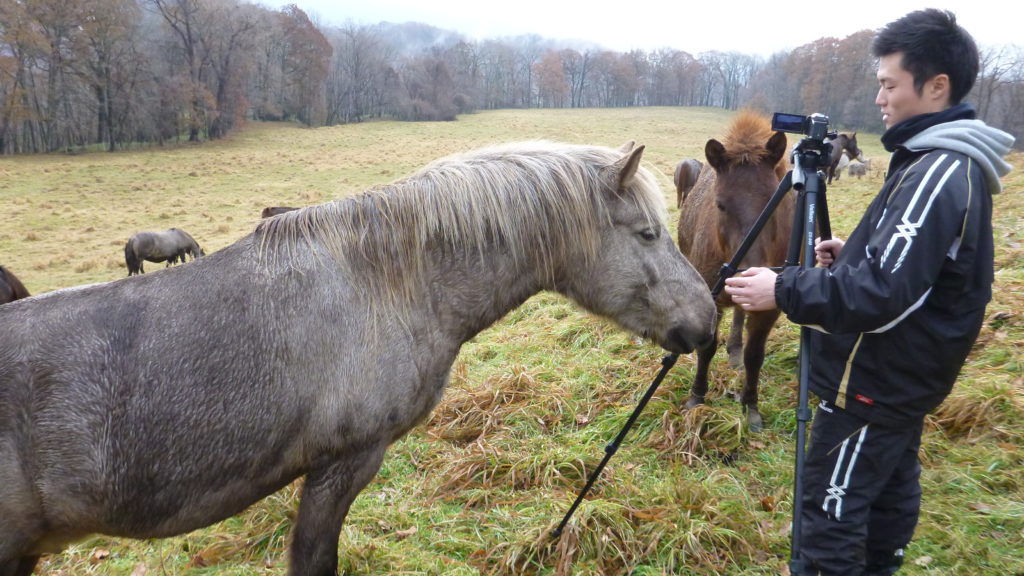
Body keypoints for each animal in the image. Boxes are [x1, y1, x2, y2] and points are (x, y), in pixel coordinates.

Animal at [679, 109, 790, 428]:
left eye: (775, 201)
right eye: (720, 204)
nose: (748, 272)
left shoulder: (769, 307)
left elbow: (755, 355)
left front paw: (750, 404)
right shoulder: (710, 299)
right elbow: (706, 348)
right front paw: (697, 397)